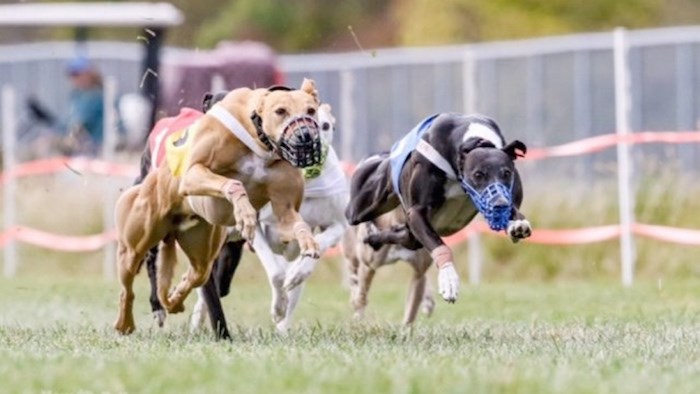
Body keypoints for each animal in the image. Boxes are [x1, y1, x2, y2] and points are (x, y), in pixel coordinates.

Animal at [113, 78, 324, 334]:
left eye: (311, 110)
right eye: (280, 111)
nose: (305, 136)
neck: (258, 139)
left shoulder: (283, 213)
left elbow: (294, 224)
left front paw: (307, 241)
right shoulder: (193, 173)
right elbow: (232, 183)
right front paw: (244, 212)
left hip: (201, 252)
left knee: (193, 276)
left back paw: (174, 299)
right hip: (135, 246)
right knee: (130, 285)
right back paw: (131, 320)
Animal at [190, 104, 348, 332]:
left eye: (325, 125)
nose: (306, 141)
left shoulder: (337, 225)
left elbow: (319, 242)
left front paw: (299, 272)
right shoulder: (256, 225)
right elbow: (275, 273)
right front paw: (278, 307)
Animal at [344, 112, 532, 304]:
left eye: (507, 173)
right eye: (478, 174)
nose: (499, 203)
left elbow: (514, 210)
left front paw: (516, 225)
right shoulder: (417, 212)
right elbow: (439, 245)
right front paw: (448, 279)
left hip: (412, 236)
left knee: (405, 236)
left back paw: (376, 237)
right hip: (362, 207)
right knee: (354, 215)